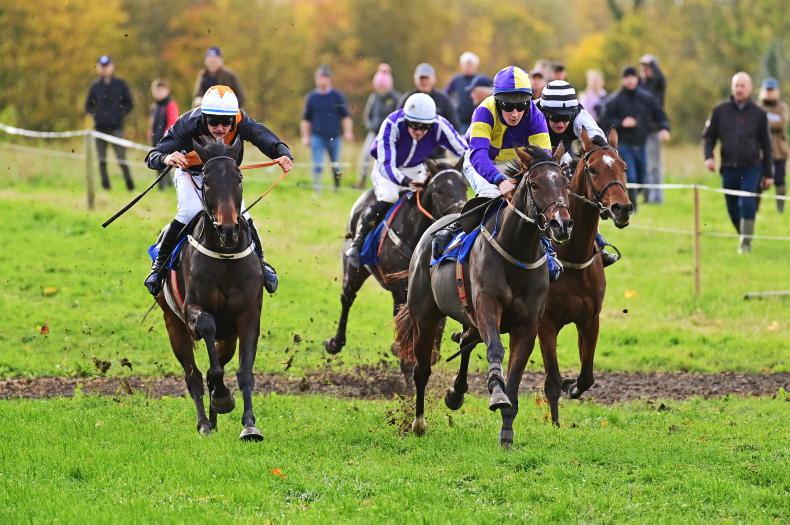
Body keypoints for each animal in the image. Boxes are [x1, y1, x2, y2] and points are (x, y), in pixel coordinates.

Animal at [156, 139, 265, 441]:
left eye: (239, 178)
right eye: (206, 182)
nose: (228, 228)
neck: (225, 255)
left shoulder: (248, 315)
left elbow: (243, 370)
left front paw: (249, 424)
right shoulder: (193, 310)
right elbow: (206, 332)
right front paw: (222, 398)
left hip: (228, 336)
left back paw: (215, 418)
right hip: (173, 324)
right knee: (193, 374)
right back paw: (205, 423)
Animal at [324, 159, 468, 364]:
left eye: (465, 185)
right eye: (439, 190)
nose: (460, 215)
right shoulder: (400, 289)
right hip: (353, 268)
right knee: (347, 297)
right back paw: (336, 342)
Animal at [394, 145, 573, 448]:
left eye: (565, 183)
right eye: (535, 185)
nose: (562, 224)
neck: (517, 252)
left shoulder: (528, 324)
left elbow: (514, 378)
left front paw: (507, 433)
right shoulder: (488, 306)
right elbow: (495, 350)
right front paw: (496, 394)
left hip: (469, 318)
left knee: (466, 340)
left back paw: (455, 394)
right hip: (425, 316)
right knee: (422, 370)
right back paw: (418, 423)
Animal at [540, 128, 632, 399]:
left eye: (623, 166)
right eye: (592, 169)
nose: (622, 208)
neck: (572, 255)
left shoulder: (590, 320)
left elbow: (587, 376)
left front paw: (572, 387)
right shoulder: (545, 323)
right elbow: (552, 377)